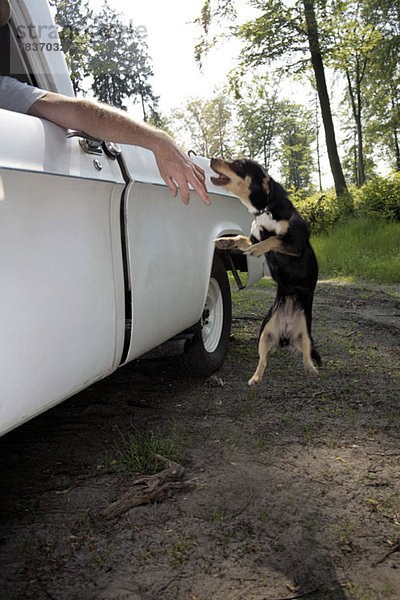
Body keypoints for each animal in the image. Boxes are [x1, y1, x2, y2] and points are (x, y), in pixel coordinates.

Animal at [211, 157, 320, 386]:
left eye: (238, 164)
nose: (212, 159)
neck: (263, 210)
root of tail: (286, 334)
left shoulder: (294, 243)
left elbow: (272, 239)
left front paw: (256, 250)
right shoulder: (252, 238)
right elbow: (241, 238)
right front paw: (226, 241)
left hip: (306, 334)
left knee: (306, 355)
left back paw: (311, 369)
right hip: (264, 333)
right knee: (263, 360)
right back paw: (255, 378)